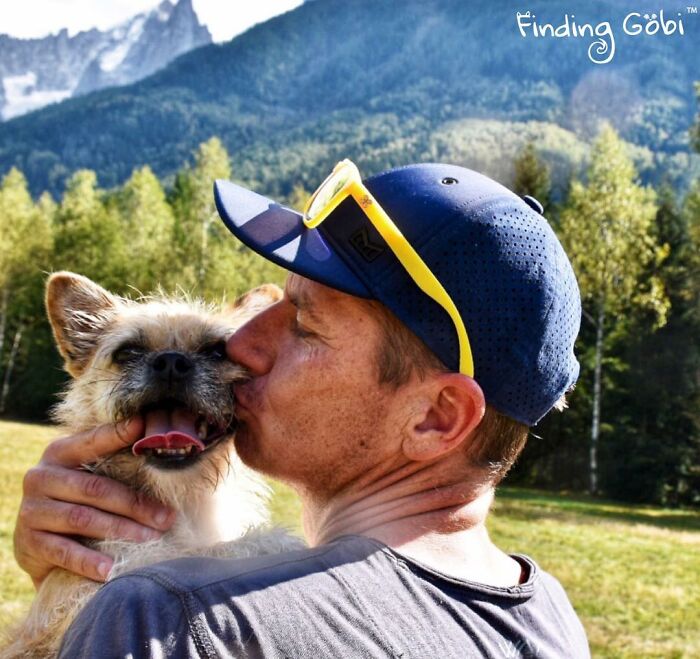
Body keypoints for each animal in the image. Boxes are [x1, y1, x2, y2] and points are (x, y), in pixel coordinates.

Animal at [2, 270, 304, 656]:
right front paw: (276, 541)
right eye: (128, 351)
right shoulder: (96, 581)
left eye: (217, 351)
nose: (171, 362)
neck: (183, 499)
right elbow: (196, 553)